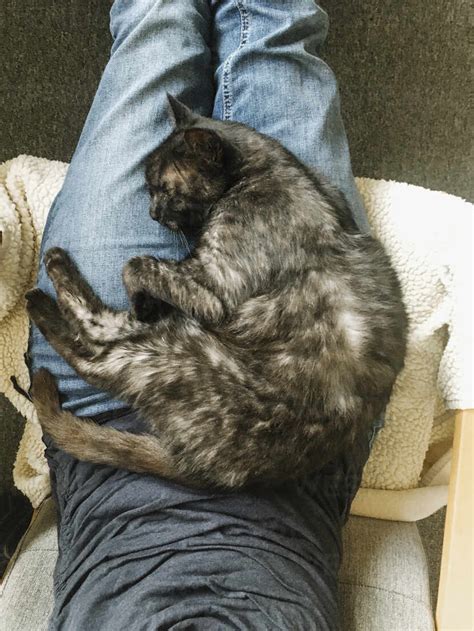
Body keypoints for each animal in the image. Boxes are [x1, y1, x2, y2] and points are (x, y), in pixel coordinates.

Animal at [25, 95, 408, 488]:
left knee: (93, 349)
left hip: (179, 343)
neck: (271, 168)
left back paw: (47, 283)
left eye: (165, 190)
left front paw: (141, 298)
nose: (152, 213)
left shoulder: (214, 287)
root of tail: (210, 469)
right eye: (150, 189)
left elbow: (135, 264)